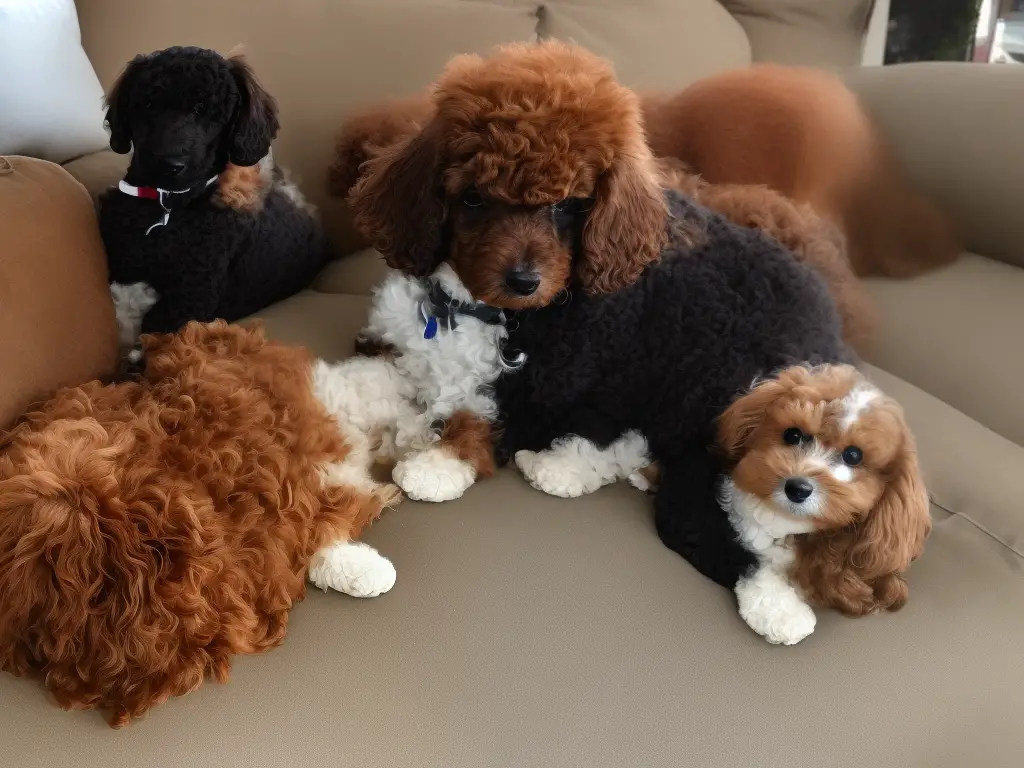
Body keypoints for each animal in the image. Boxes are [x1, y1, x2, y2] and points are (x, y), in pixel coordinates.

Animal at [98, 45, 325, 348]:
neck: (169, 207)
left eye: (204, 112)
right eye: (149, 105)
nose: (170, 164)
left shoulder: (192, 294)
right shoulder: (122, 259)